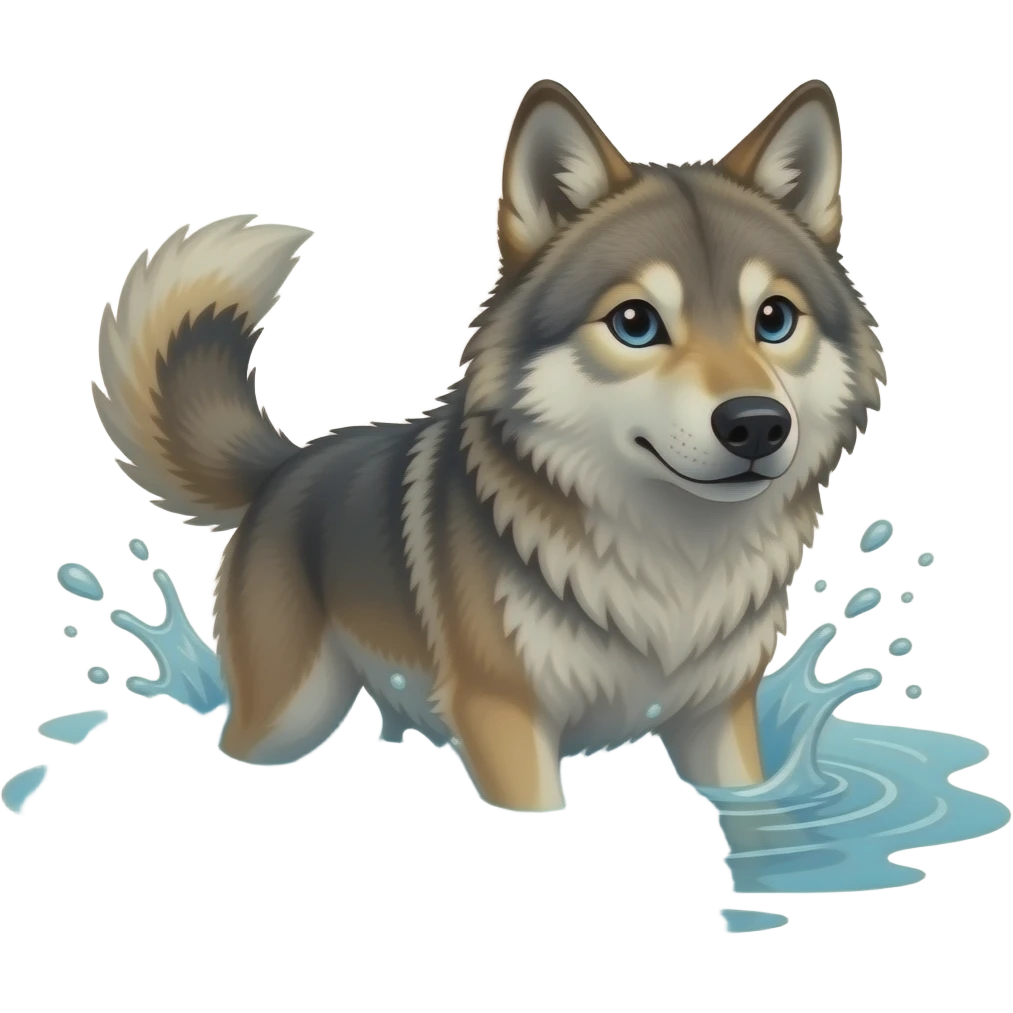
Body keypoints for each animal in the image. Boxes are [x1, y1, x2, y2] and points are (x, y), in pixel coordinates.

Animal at [91, 77, 885, 814]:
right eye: (634, 322)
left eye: (774, 318)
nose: (756, 424)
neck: (672, 560)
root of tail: (288, 465)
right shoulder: (504, 715)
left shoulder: (718, 720)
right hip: (287, 718)